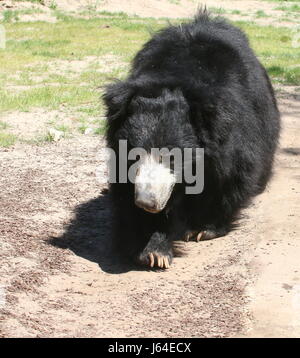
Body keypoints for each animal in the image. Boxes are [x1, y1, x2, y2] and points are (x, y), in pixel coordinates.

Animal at [103, 9, 282, 268]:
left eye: (173, 158)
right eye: (134, 156)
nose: (147, 202)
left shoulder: (233, 134)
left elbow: (228, 176)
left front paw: (202, 229)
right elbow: (127, 188)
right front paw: (153, 251)